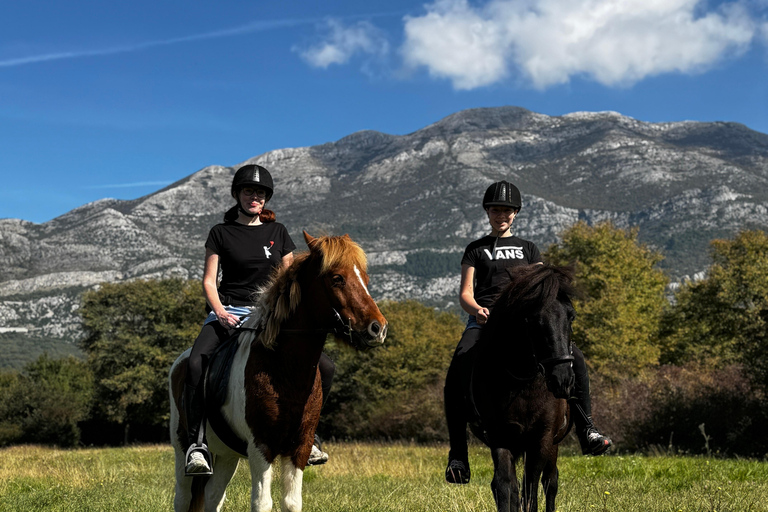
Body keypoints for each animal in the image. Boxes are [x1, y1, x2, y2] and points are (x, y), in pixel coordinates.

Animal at [169, 232, 387, 512]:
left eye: (365, 279)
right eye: (337, 278)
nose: (377, 328)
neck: (285, 369)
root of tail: (181, 361)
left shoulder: (299, 448)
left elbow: (292, 502)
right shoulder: (261, 447)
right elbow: (262, 502)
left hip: (227, 455)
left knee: (214, 496)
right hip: (181, 445)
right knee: (183, 497)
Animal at [467, 264, 576, 512]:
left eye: (571, 316)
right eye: (532, 319)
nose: (563, 379)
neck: (523, 385)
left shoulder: (541, 440)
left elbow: (531, 489)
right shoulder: (500, 437)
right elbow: (505, 486)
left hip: (552, 446)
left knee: (550, 483)